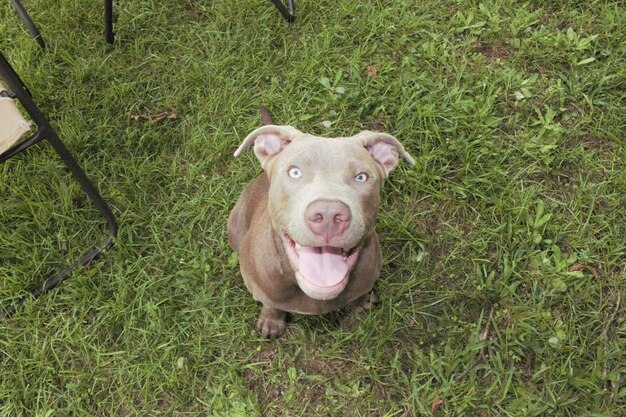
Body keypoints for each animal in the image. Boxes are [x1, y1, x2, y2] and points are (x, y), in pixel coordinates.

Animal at [227, 105, 412, 336]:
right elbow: (271, 304)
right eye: (295, 172)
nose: (329, 215)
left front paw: (362, 303)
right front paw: (272, 320)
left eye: (361, 177)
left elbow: (361, 294)